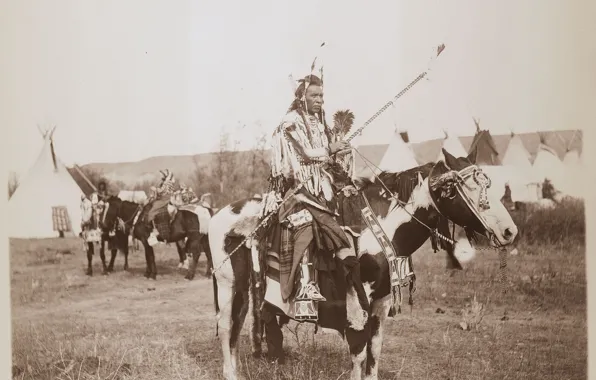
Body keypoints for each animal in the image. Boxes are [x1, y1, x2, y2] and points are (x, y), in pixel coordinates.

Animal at [208, 149, 516, 380]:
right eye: (467, 188)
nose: (509, 232)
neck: (379, 227)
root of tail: (218, 215)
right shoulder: (357, 299)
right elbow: (358, 349)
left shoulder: (381, 299)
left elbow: (374, 349)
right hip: (228, 283)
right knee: (226, 325)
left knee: (238, 325)